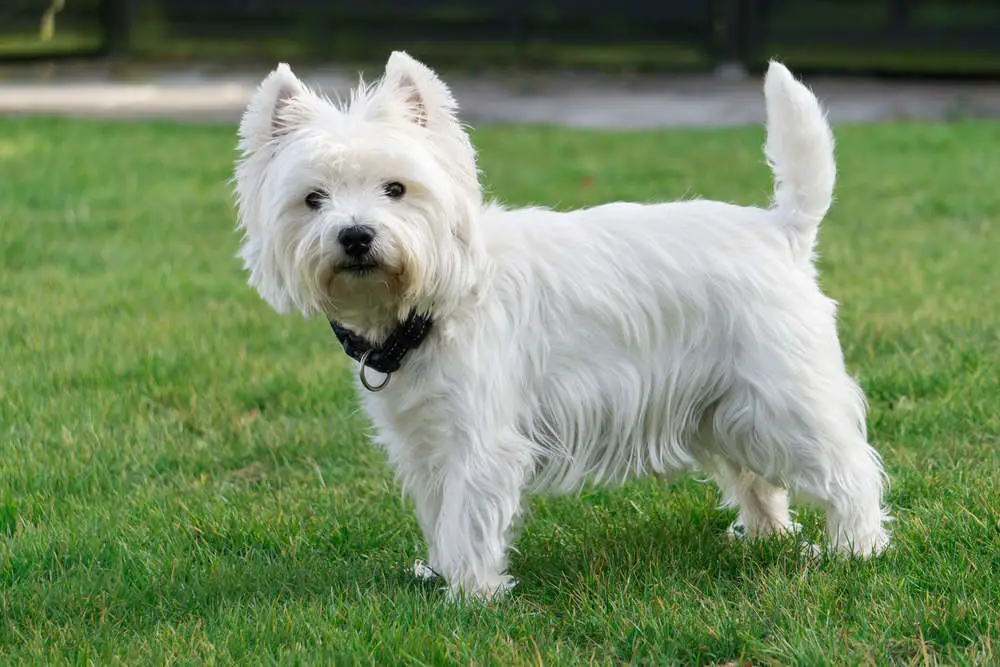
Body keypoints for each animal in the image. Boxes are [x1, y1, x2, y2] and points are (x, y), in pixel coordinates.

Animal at [232, 52, 892, 600]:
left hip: (784, 394)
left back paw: (853, 549)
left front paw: (472, 594)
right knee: (759, 478)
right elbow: (441, 511)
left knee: (849, 468)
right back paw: (763, 536)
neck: (434, 304)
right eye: (313, 199)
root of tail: (780, 229)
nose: (356, 235)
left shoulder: (483, 436)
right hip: (722, 406)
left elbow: (469, 514)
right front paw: (439, 572)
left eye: (396, 188)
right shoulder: (423, 439)